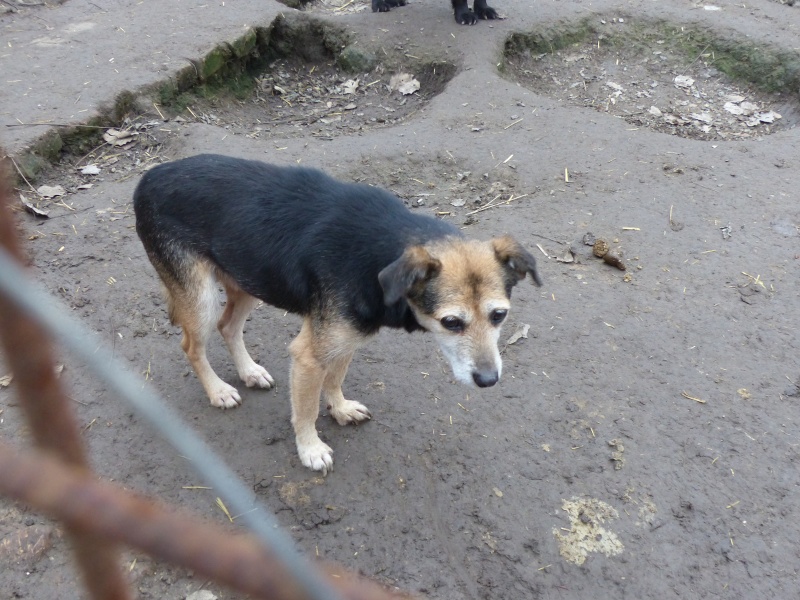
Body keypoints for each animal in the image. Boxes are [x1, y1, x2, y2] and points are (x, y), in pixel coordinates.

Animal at [134, 155, 540, 474]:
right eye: (451, 323)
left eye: (499, 315)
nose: (488, 380)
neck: (383, 256)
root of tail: (148, 178)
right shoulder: (308, 355)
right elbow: (306, 410)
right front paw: (310, 449)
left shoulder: (347, 336)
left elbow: (336, 377)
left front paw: (340, 407)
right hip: (201, 297)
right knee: (192, 344)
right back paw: (218, 390)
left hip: (249, 279)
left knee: (228, 326)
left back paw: (249, 371)